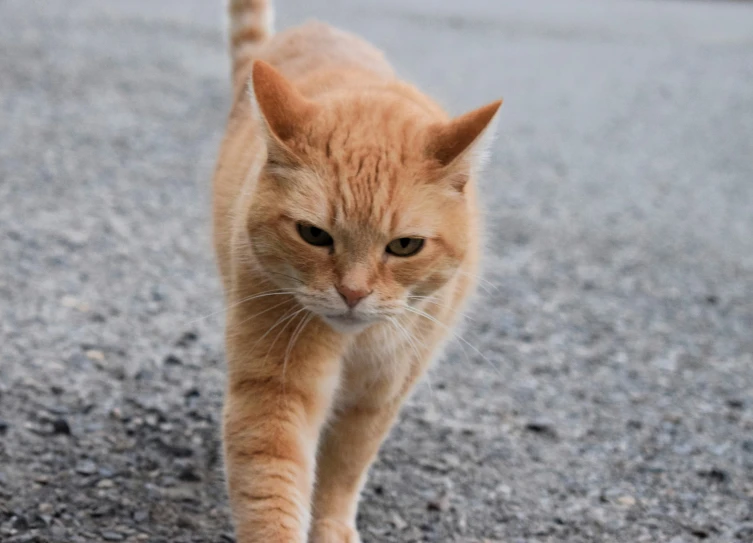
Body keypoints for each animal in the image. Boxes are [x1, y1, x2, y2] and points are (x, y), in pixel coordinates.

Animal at [212, 1, 502, 543]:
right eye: (314, 235)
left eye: (405, 246)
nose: (352, 292)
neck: (354, 344)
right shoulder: (275, 389)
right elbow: (273, 484)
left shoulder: (382, 393)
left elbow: (345, 467)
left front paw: (331, 526)